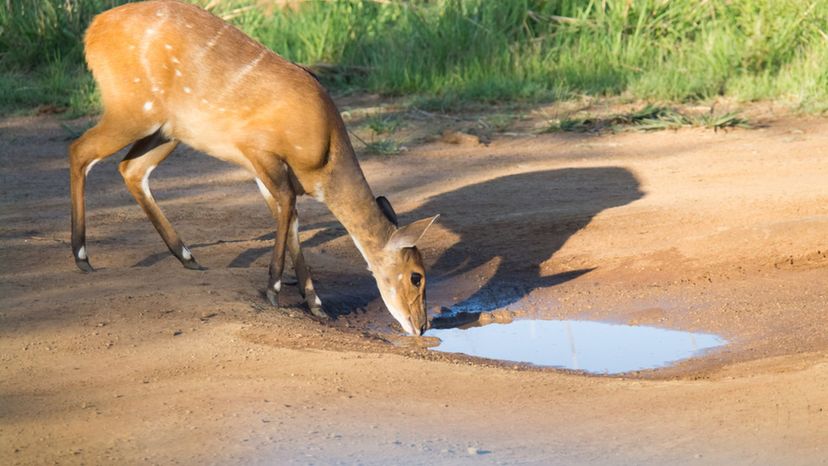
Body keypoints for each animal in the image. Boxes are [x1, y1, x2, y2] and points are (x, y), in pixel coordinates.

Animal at [71, 0, 440, 334]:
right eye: (417, 276)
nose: (422, 326)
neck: (325, 155)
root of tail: (93, 30)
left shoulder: (266, 174)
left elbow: (291, 220)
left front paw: (316, 305)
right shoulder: (260, 151)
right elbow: (288, 207)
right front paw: (274, 290)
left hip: (167, 129)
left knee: (131, 169)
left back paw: (188, 258)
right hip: (133, 110)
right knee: (80, 151)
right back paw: (82, 257)